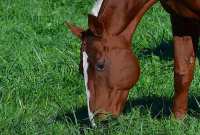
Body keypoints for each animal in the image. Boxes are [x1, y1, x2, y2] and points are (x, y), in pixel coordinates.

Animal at [66, 0, 200, 126]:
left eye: (100, 65)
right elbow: (182, 73)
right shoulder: (180, 19)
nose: (96, 120)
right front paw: (178, 120)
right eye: (81, 70)